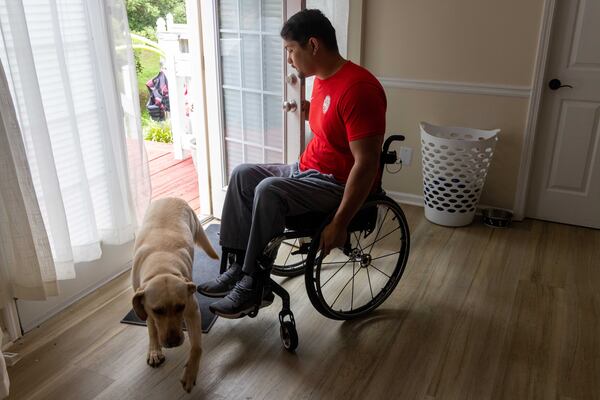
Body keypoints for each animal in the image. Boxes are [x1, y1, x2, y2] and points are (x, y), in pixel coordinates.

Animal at [131, 198, 218, 392]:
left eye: (181, 307)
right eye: (158, 311)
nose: (173, 341)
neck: (161, 266)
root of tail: (172, 198)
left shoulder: (192, 312)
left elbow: (197, 347)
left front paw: (190, 373)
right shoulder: (144, 306)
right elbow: (151, 328)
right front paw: (154, 350)